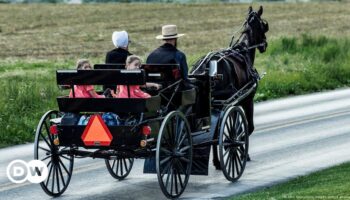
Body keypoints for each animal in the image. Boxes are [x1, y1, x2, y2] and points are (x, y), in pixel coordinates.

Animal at [190, 5, 270, 167]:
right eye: (264, 25)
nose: (265, 45)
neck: (244, 50)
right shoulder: (246, 99)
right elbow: (245, 127)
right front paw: (244, 153)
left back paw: (215, 160)